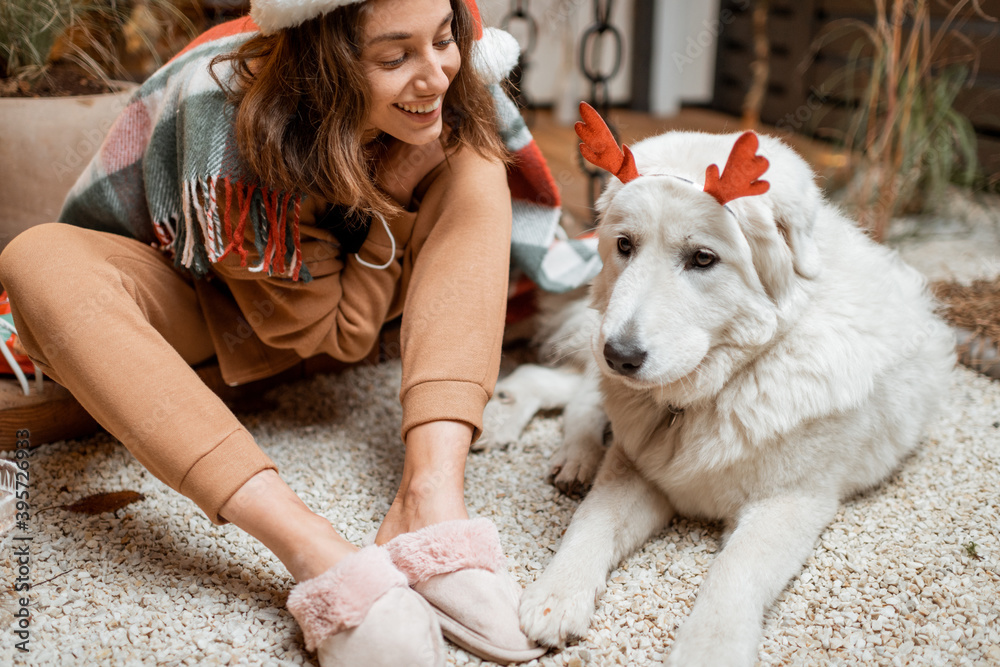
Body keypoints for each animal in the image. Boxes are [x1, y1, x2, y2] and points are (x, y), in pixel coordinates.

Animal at [484, 111, 960, 667]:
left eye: (703, 259)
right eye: (624, 246)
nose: (620, 355)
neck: (717, 389)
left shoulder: (788, 503)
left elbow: (735, 573)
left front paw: (708, 648)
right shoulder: (635, 470)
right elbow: (590, 523)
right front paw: (556, 595)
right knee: (573, 393)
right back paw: (554, 448)